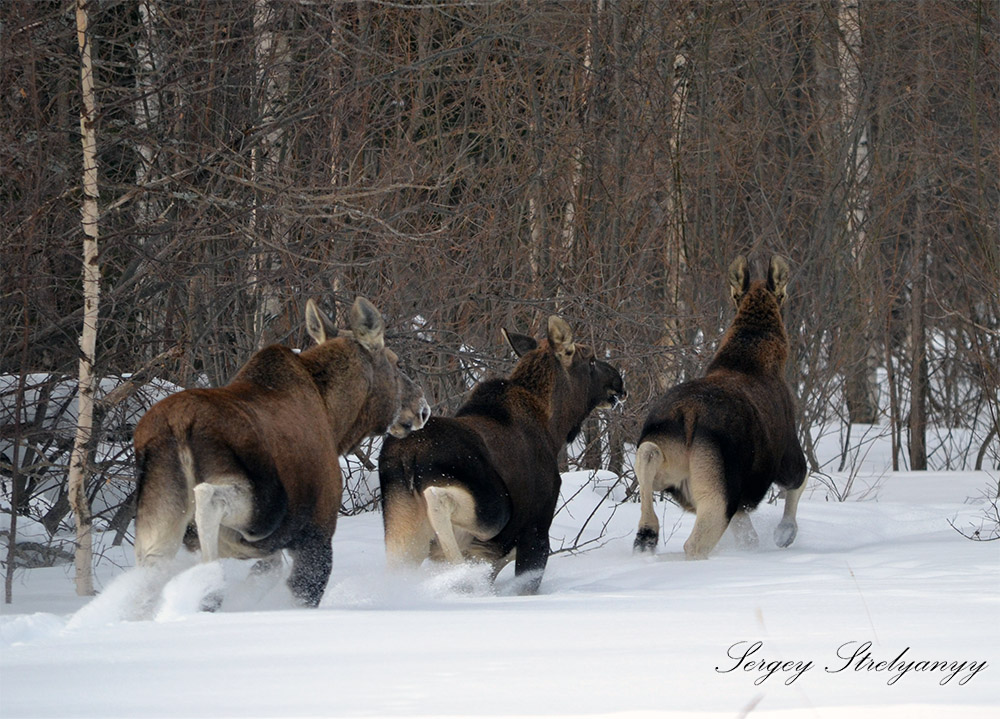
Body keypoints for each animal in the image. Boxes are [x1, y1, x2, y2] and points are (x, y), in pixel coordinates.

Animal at [133, 298, 430, 608]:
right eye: (396, 363)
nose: (422, 409)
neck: (336, 419)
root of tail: (178, 425)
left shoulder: (268, 549)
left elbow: (269, 572)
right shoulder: (316, 532)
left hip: (159, 514)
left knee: (148, 572)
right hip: (261, 508)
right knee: (208, 498)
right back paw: (207, 583)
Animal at [376, 318, 620, 592]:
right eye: (591, 359)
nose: (618, 381)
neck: (553, 428)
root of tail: (407, 458)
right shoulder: (535, 531)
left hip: (401, 530)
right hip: (493, 509)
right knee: (440, 500)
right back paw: (459, 573)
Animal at [636, 256, 808, 560]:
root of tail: (687, 416)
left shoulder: (738, 505)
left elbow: (748, 535)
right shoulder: (788, 453)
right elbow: (799, 483)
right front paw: (785, 533)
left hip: (668, 465)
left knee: (647, 458)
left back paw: (646, 535)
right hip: (719, 494)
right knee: (694, 544)